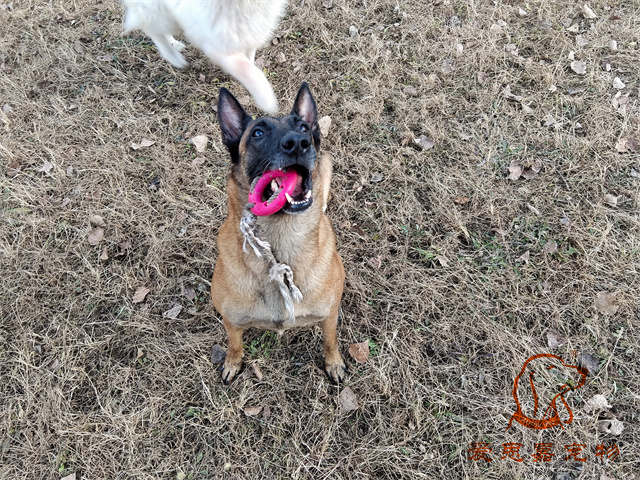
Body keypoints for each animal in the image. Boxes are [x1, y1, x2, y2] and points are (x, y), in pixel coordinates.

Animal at [121, 0, 286, 113]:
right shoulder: (216, 46)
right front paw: (266, 99)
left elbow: (249, 59)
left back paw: (175, 44)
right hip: (160, 14)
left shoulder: (252, 34)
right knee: (150, 29)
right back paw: (173, 56)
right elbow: (247, 69)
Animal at [210, 82, 346, 384]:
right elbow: (234, 343)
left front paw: (333, 363)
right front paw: (232, 362)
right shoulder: (231, 320)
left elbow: (330, 340)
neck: (280, 242)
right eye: (258, 133)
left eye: (304, 127)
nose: (298, 143)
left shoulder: (330, 313)